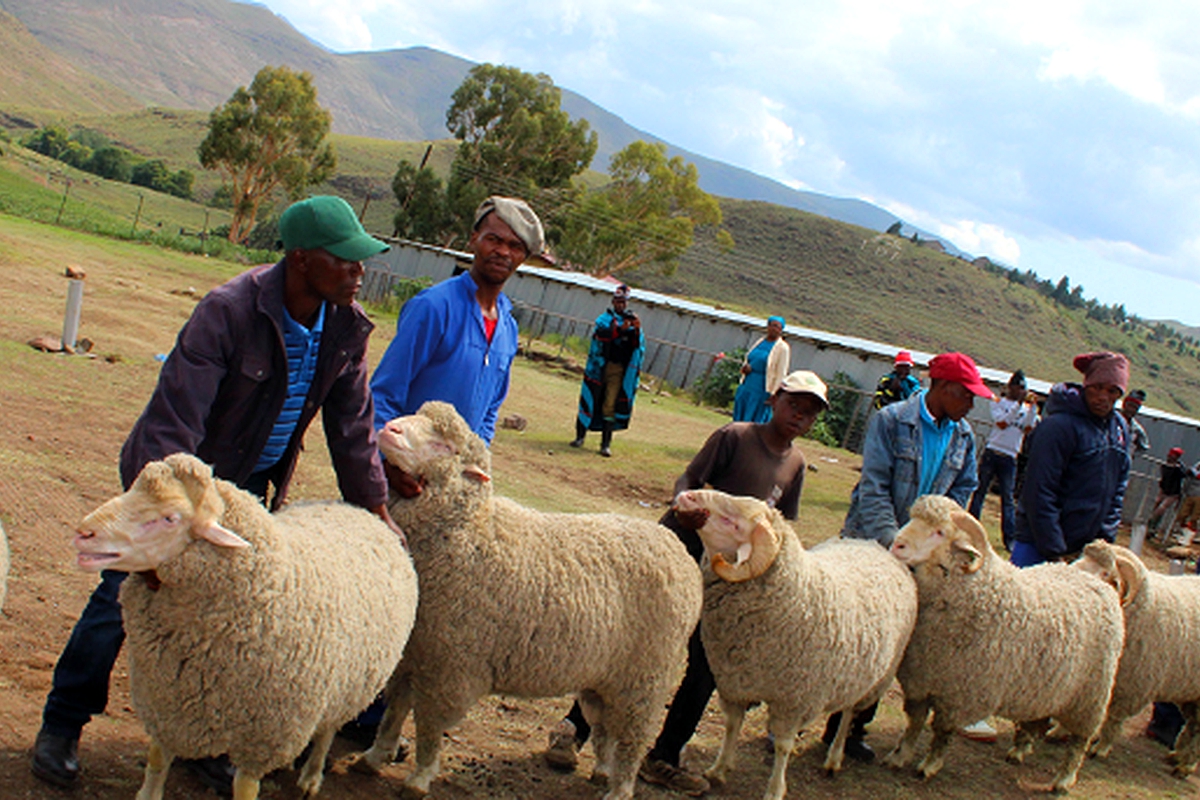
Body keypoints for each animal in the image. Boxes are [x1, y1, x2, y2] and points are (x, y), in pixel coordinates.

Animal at [71, 453, 417, 800]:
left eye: (170, 518)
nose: (83, 533)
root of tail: (362, 512)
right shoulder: (166, 701)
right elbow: (158, 759)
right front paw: (149, 792)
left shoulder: (263, 736)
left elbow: (245, 787)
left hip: (349, 684)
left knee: (327, 730)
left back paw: (311, 776)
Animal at [355, 400, 705, 800]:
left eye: (445, 446)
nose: (389, 429)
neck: (470, 533)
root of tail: (678, 550)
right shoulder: (412, 653)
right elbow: (394, 710)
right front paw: (375, 755)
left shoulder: (448, 665)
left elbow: (428, 727)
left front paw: (419, 777)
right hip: (604, 677)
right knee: (604, 727)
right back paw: (603, 770)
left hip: (646, 678)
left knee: (632, 738)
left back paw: (620, 787)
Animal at [676, 489, 916, 800]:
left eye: (733, 521)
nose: (686, 495)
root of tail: (875, 546)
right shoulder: (735, 681)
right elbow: (732, 725)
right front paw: (719, 769)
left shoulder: (794, 699)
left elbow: (783, 745)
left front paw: (775, 789)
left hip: (875, 676)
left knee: (849, 715)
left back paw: (834, 759)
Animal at [883, 496, 1123, 791]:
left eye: (940, 532)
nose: (897, 545)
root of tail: (1098, 583)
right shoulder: (920, 680)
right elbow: (914, 722)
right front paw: (900, 755)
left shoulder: (958, 693)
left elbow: (942, 732)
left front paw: (929, 765)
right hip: (1047, 688)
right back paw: (1019, 751)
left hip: (1090, 696)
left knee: (1079, 741)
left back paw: (1064, 780)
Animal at [1075, 542, 1200, 772]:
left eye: (1106, 572)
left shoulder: (1131, 687)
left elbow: (1113, 719)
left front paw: (1101, 748)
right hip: (1192, 694)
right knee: (1195, 726)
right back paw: (1177, 757)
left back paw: (1185, 767)